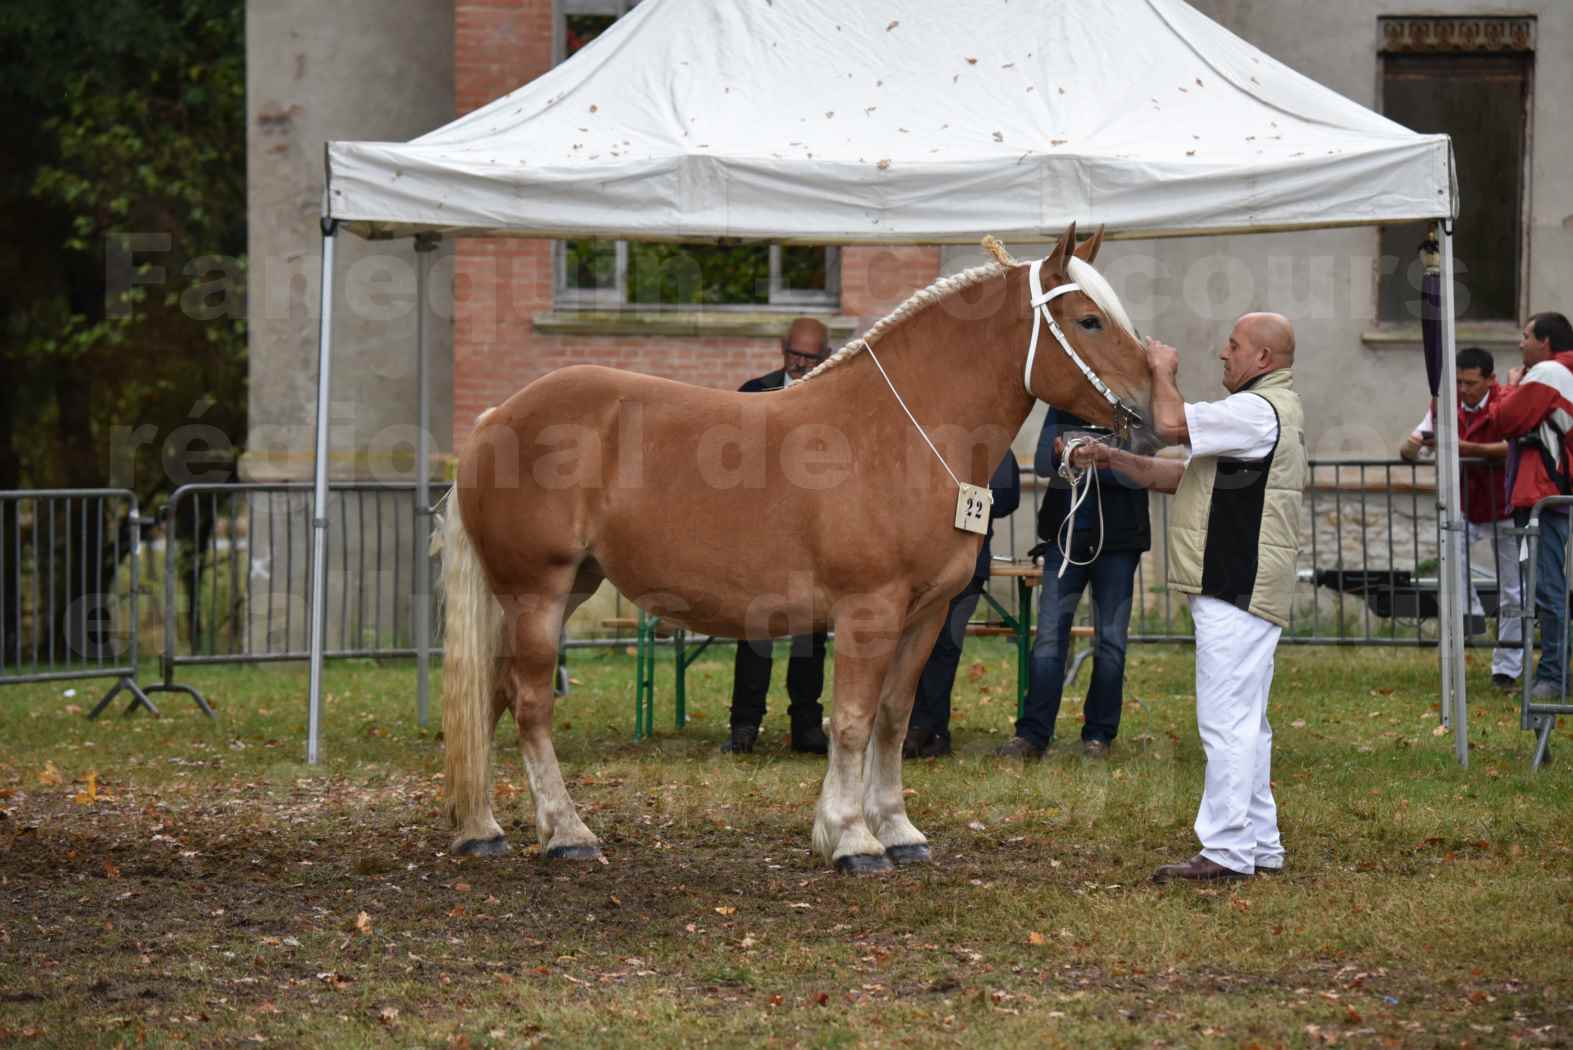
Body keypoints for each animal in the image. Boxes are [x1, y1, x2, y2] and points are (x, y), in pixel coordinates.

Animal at [443, 226, 1157, 873]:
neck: (899, 432)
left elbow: (893, 718)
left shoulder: (926, 614)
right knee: (530, 703)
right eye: (1089, 320)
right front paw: (851, 839)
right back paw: (567, 834)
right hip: (537, 589)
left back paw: (482, 829)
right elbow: (853, 720)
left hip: (565, 589)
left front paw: (899, 831)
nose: (1151, 410)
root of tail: (495, 417)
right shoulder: (868, 610)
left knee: (494, 694)